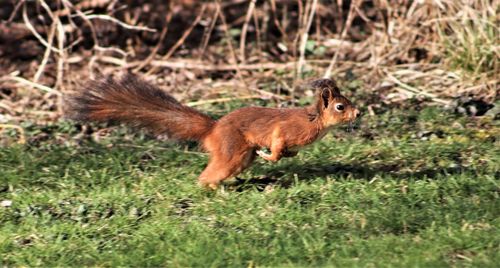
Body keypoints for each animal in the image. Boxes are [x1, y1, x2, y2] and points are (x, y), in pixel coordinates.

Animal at [66, 75, 360, 188]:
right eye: (340, 106)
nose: (358, 113)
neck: (315, 121)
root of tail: (213, 129)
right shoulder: (288, 130)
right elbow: (277, 144)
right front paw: (270, 156)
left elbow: (288, 153)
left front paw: (288, 156)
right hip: (233, 152)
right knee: (207, 176)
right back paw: (216, 188)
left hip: (240, 157)